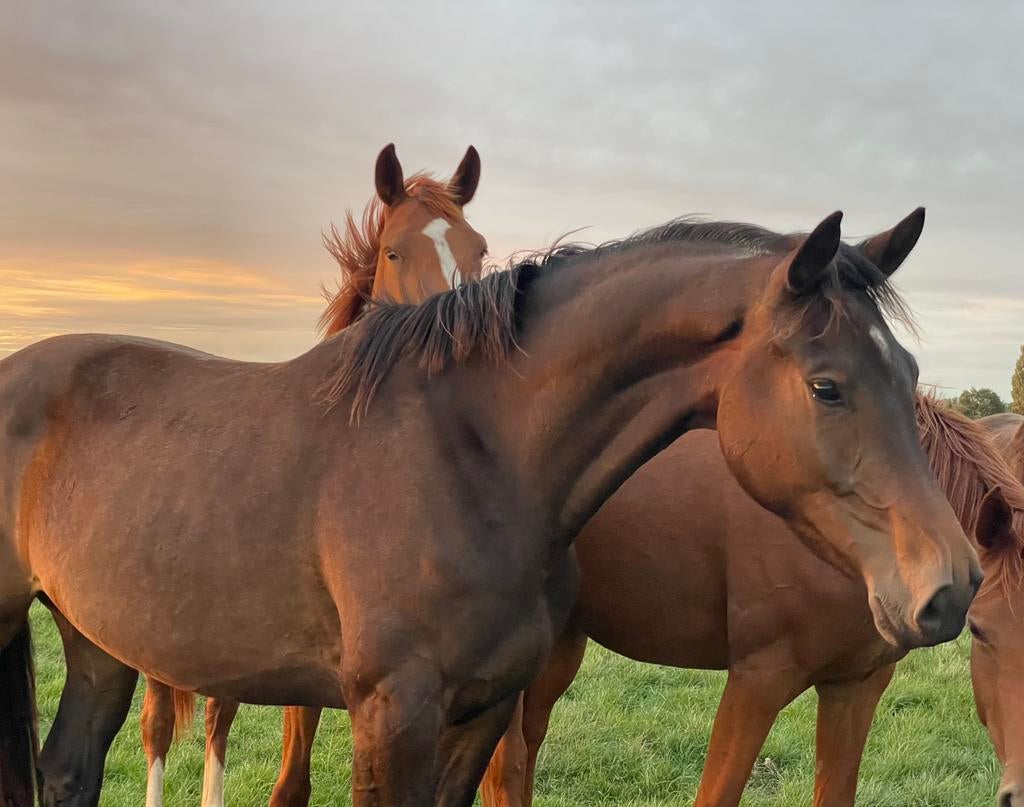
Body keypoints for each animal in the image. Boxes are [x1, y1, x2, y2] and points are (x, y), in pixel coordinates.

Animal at [478, 395, 1019, 807]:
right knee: (507, 764)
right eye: (979, 630)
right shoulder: (757, 679)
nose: (1017, 790)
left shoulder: (856, 684)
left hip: (562, 646)